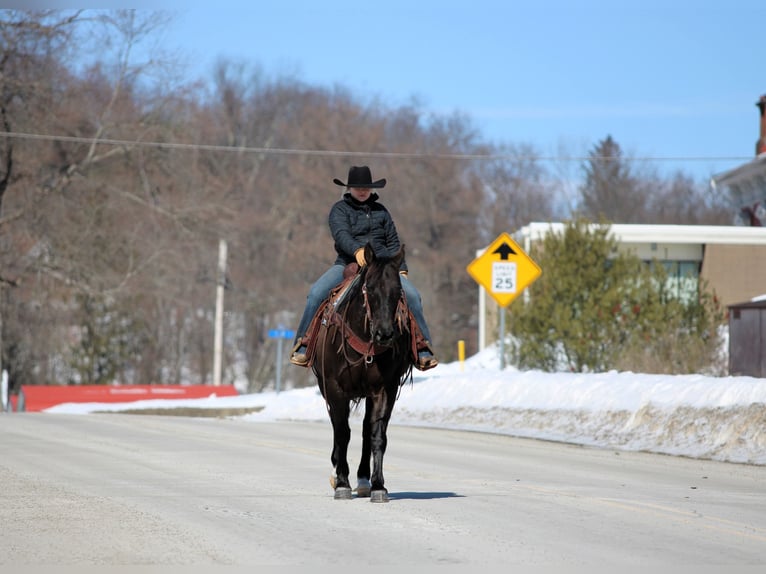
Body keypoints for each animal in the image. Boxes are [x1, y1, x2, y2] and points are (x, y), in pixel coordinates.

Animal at [311, 243, 415, 503]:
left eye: (398, 290)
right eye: (370, 288)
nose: (385, 334)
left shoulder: (385, 389)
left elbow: (377, 435)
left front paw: (378, 486)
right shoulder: (335, 389)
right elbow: (342, 433)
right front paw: (341, 483)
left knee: (367, 430)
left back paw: (364, 480)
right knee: (338, 427)